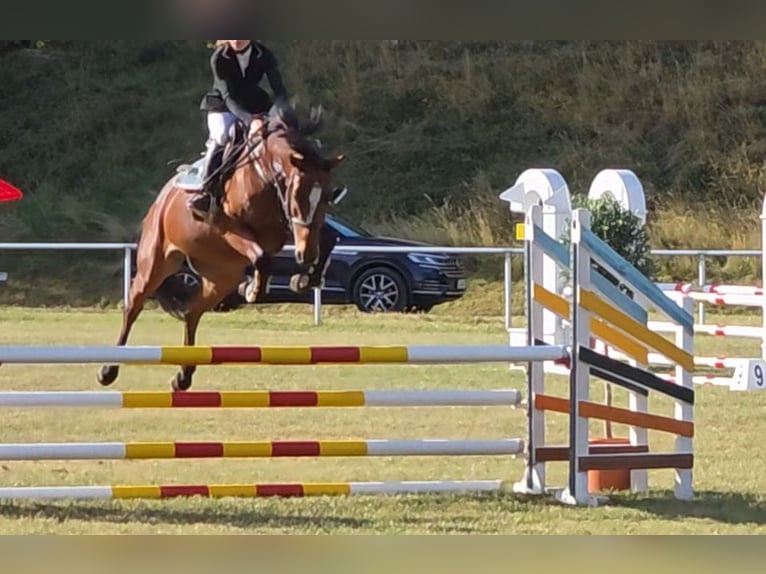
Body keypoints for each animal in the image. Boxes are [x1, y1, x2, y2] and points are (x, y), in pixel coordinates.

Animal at [97, 106, 346, 391]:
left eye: (327, 196)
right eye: (298, 195)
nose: (306, 255)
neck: (264, 174)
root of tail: (161, 198)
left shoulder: (286, 230)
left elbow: (328, 239)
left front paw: (306, 279)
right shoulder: (228, 227)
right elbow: (261, 256)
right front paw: (253, 289)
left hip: (221, 277)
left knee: (193, 311)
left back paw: (183, 376)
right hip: (156, 263)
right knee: (134, 306)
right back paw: (108, 370)